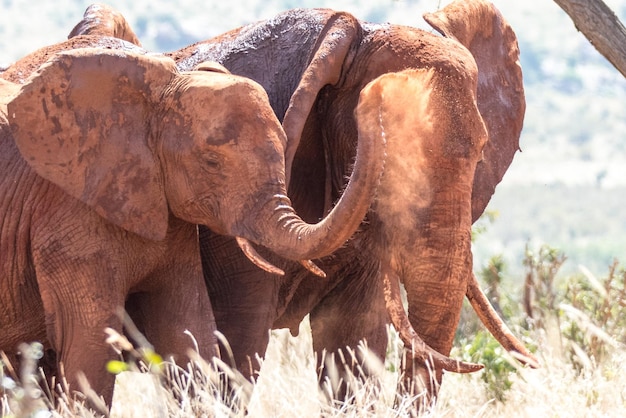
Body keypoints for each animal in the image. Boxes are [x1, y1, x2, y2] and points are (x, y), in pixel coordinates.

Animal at [0, 37, 386, 406]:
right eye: (211, 162)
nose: (372, 95)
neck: (157, 91)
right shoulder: (65, 213)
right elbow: (90, 344)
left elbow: (188, 334)